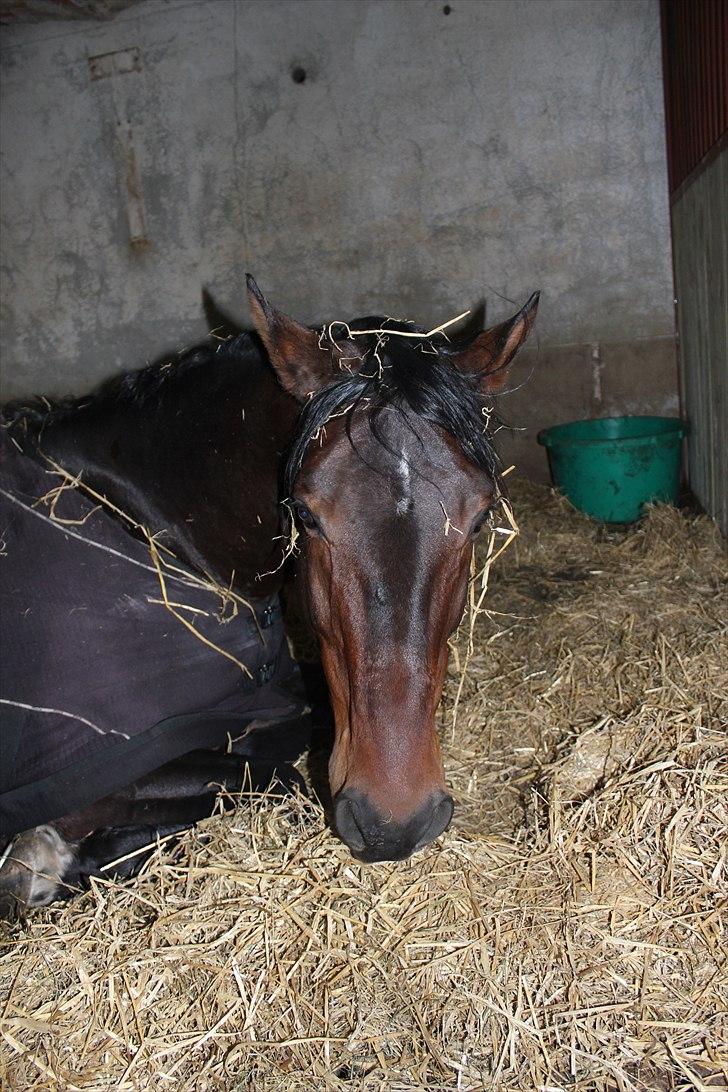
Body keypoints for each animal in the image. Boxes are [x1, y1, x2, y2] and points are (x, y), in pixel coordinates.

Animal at [0, 277, 534, 917]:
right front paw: (47, 861)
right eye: (305, 514)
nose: (394, 824)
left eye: (479, 518)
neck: (138, 520)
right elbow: (275, 780)